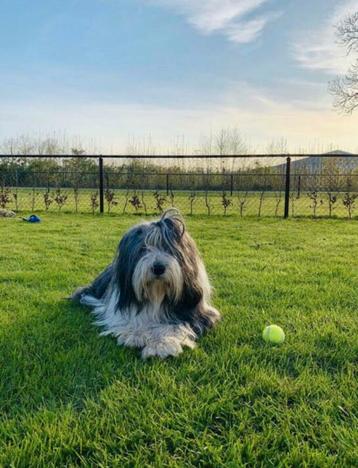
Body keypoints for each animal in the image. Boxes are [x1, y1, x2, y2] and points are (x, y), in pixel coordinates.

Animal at [71, 208, 220, 358]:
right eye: (143, 248)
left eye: (168, 248)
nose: (158, 268)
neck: (157, 292)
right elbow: (132, 319)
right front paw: (136, 334)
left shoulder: (197, 312)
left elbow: (176, 325)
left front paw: (161, 343)